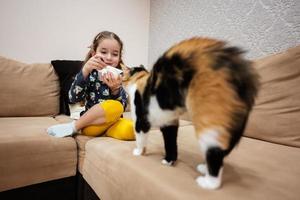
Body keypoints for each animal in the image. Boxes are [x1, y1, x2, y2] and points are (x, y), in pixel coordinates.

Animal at [122, 37, 260, 189]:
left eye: (122, 74)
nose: (121, 77)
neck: (141, 78)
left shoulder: (141, 120)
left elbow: (140, 139)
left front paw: (139, 152)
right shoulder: (169, 121)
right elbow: (170, 143)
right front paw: (169, 161)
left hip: (208, 121)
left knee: (215, 153)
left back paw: (208, 182)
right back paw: (204, 168)